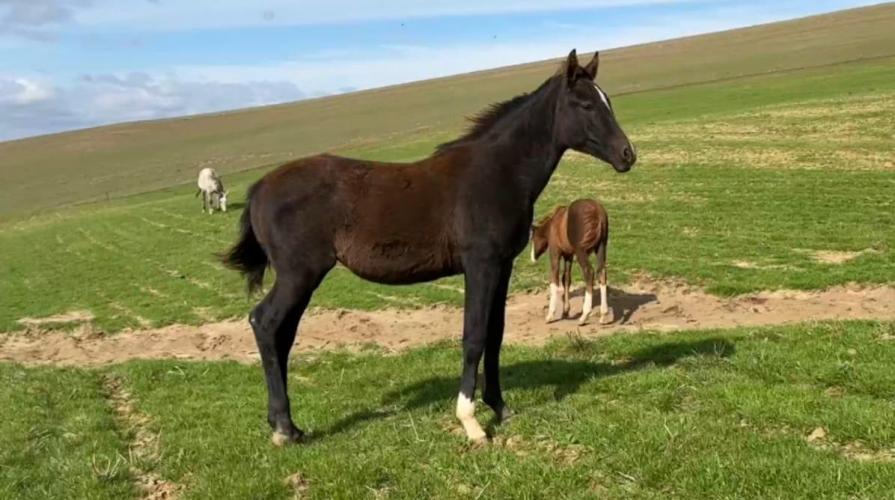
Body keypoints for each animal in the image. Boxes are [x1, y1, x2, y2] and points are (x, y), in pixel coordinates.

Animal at [222, 49, 636, 445]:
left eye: (607, 100)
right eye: (585, 105)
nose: (627, 154)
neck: (496, 173)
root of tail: (259, 188)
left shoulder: (502, 266)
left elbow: (496, 334)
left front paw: (500, 407)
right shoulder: (480, 265)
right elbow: (474, 336)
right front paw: (472, 424)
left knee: (282, 334)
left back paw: (288, 426)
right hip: (300, 274)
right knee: (265, 323)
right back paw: (283, 428)